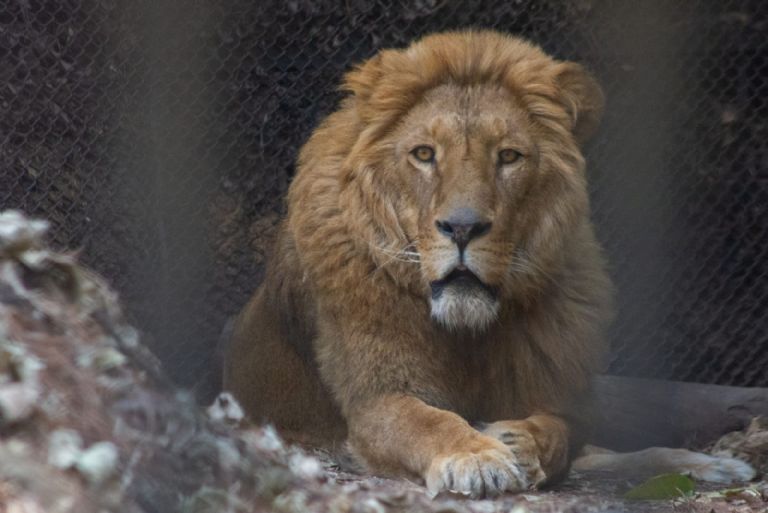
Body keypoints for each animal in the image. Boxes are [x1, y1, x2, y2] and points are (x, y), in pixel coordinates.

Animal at [224, 30, 754, 497]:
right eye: (424, 154)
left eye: (509, 156)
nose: (462, 228)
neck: (469, 334)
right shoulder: (375, 399)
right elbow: (428, 420)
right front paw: (477, 458)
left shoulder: (553, 391)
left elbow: (559, 429)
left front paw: (518, 441)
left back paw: (717, 464)